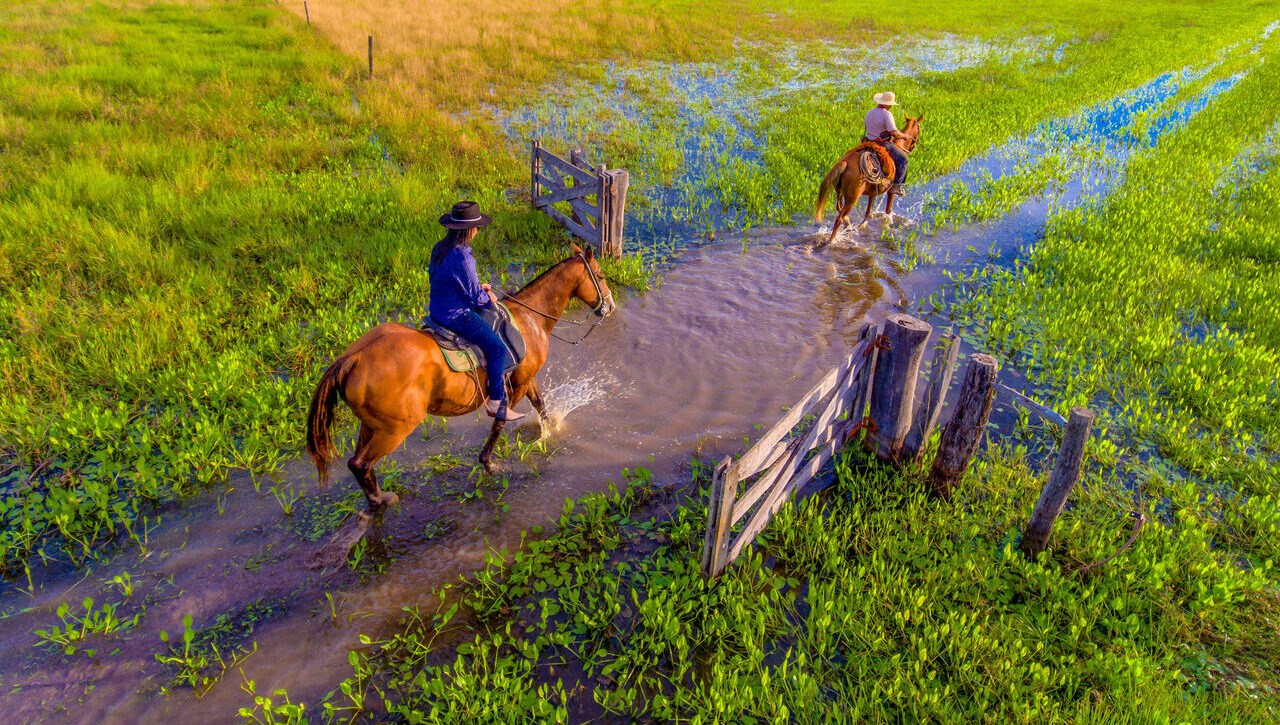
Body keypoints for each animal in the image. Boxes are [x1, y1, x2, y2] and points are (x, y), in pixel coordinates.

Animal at [304, 244, 614, 512]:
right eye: (599, 275)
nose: (609, 307)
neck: (529, 320)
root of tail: (354, 358)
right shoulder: (516, 384)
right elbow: (500, 422)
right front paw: (488, 462)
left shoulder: (527, 378)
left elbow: (541, 406)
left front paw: (551, 432)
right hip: (394, 428)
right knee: (362, 464)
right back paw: (382, 500)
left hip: (371, 425)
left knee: (355, 462)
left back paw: (376, 498)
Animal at [814, 115, 926, 248]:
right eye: (919, 130)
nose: (913, 146)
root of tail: (845, 162)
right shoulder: (891, 192)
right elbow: (888, 211)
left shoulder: (873, 193)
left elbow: (869, 213)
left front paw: (862, 226)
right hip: (853, 197)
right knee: (839, 219)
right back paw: (832, 241)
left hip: (839, 192)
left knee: (840, 209)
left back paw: (848, 225)